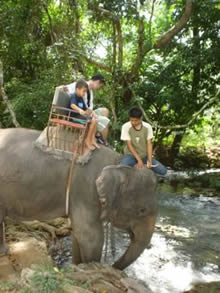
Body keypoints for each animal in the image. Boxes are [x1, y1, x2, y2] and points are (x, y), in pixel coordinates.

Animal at [0, 126, 158, 268]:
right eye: (142, 211)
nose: (112, 266)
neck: (118, 162)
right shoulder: (86, 191)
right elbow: (91, 237)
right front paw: (92, 267)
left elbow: (78, 234)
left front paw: (77, 266)